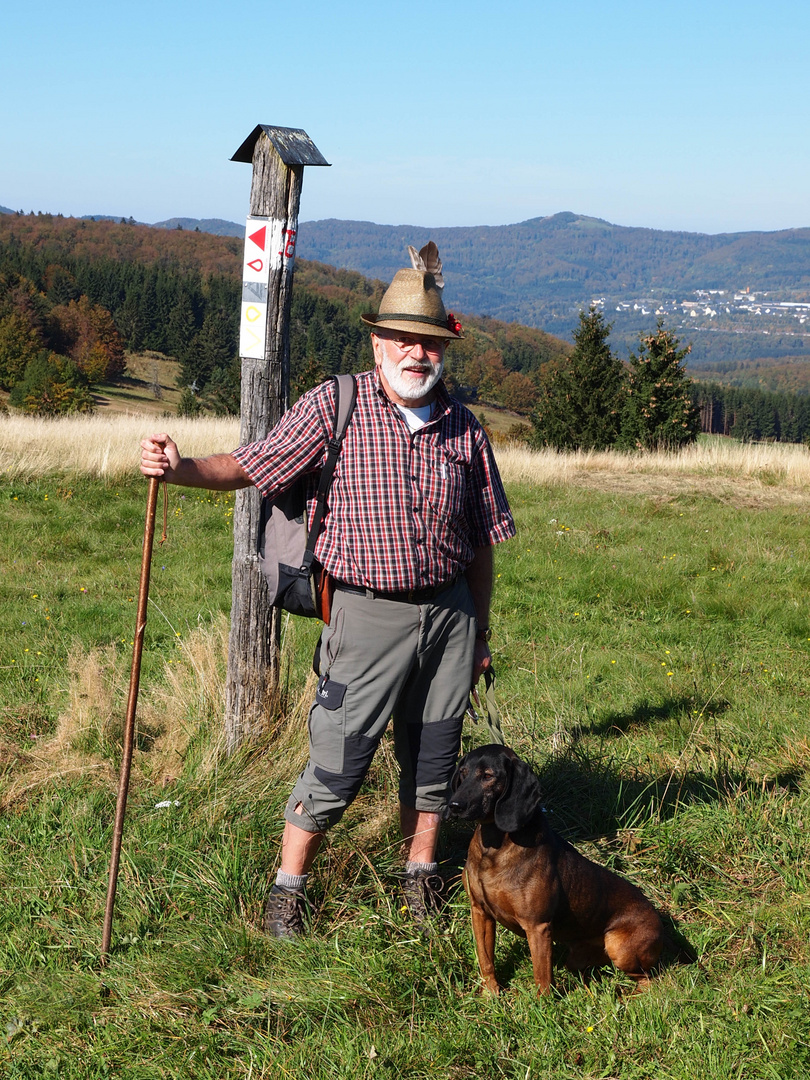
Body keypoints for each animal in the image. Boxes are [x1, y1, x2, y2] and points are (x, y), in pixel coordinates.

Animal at [447, 743, 669, 993]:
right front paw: (491, 994)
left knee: (649, 980)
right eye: (463, 772)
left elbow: (542, 977)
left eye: (488, 776)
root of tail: (660, 922)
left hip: (618, 947)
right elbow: (486, 961)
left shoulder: (537, 926)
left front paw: (541, 1002)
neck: (494, 845)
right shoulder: (480, 912)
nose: (454, 805)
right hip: (579, 957)